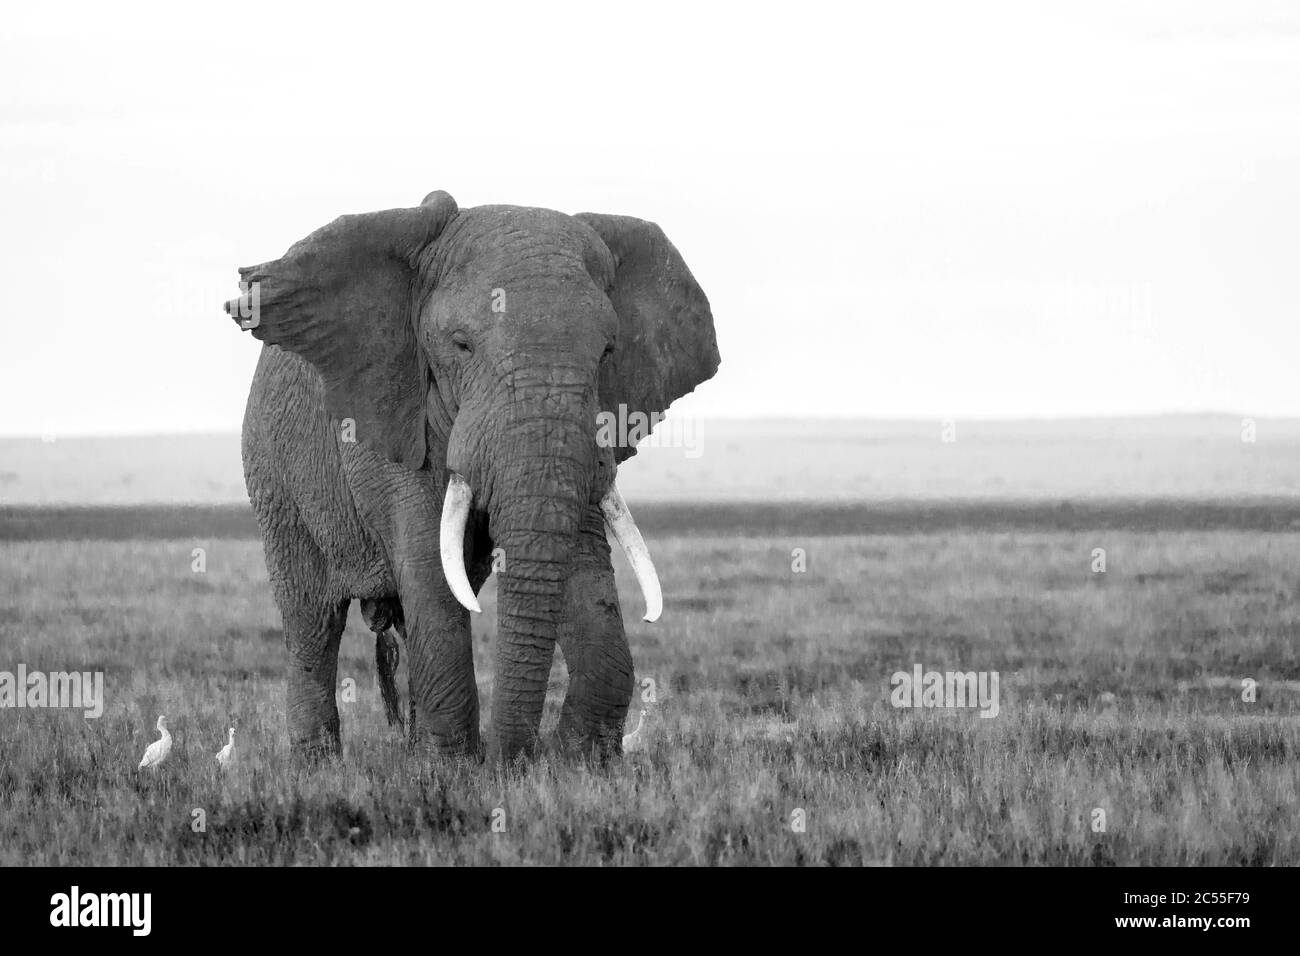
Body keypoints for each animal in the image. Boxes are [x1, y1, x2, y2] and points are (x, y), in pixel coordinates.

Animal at [228, 192, 728, 764]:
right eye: (461, 346)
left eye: (607, 352)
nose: (515, 761)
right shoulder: (391, 415)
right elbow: (429, 567)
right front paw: (452, 769)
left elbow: (579, 560)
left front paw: (585, 766)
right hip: (271, 471)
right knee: (313, 618)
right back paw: (318, 766)